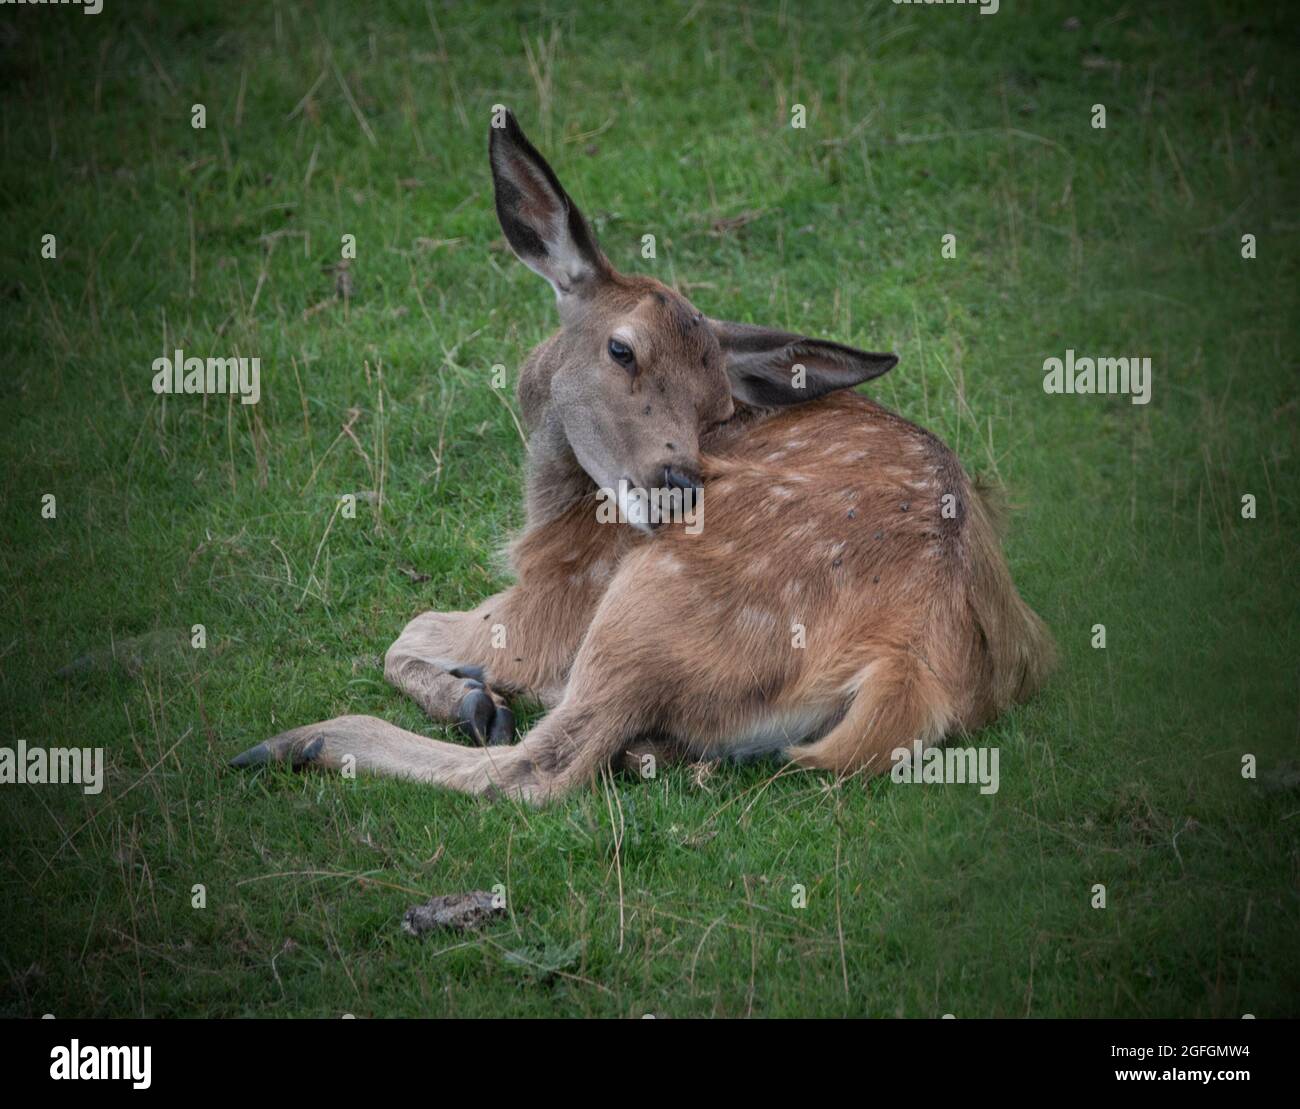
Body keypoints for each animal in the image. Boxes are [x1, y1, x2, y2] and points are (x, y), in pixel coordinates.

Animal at [228, 112, 1050, 800]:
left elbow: (408, 630)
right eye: (622, 349)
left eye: (717, 407)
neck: (549, 508)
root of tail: (908, 664)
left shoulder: (553, 598)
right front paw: (469, 690)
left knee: (538, 767)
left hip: (643, 606)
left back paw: (302, 740)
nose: (679, 483)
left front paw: (473, 695)